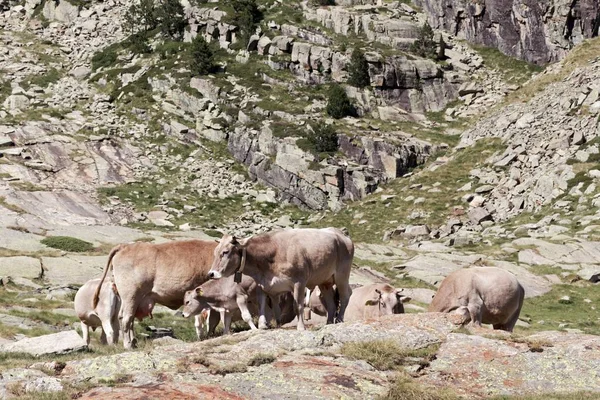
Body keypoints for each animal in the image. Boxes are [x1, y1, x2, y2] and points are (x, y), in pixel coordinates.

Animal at [209, 228, 354, 332]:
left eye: (225, 252)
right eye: (215, 252)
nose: (211, 273)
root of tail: (340, 233)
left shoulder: (299, 282)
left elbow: (298, 305)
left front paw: (301, 327)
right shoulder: (263, 285)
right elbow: (265, 307)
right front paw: (264, 325)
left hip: (342, 275)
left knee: (345, 296)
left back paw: (339, 319)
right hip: (325, 281)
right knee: (331, 302)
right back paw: (329, 323)